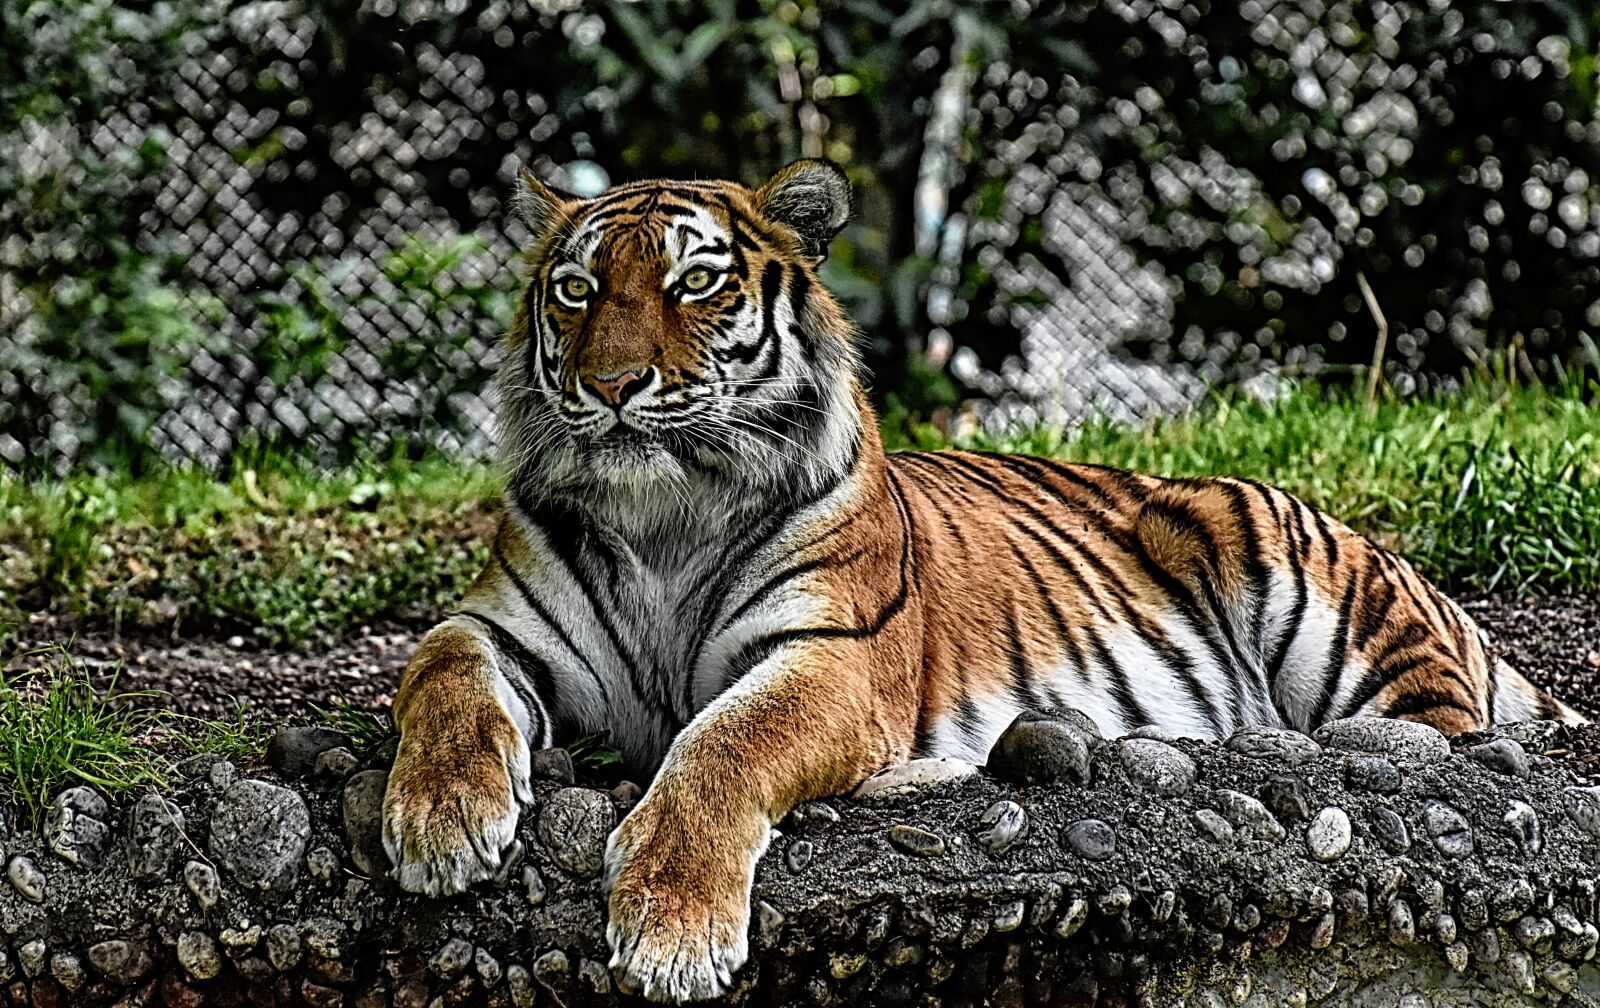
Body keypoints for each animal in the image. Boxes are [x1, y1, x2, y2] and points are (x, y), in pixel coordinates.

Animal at [380, 158, 1584, 1002]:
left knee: (1444, 740)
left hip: (1312, 590)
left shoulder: (831, 660)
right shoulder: (502, 626)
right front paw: (440, 826)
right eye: (578, 291)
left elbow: (722, 747)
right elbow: (439, 675)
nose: (612, 383)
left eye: (695, 283)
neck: (663, 512)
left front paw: (671, 931)